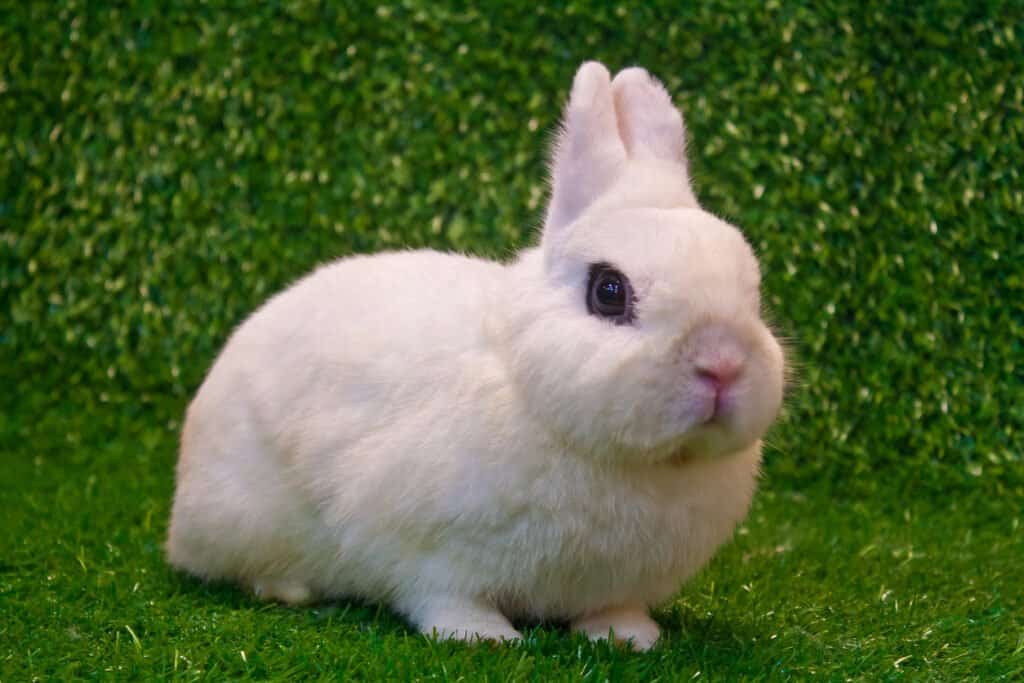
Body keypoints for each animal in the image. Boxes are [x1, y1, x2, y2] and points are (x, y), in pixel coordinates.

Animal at [167, 60, 786, 651]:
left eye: (753, 293)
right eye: (609, 291)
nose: (723, 364)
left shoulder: (616, 581)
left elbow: (612, 609)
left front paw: (631, 638)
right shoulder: (427, 550)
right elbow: (444, 596)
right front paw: (483, 637)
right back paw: (287, 587)